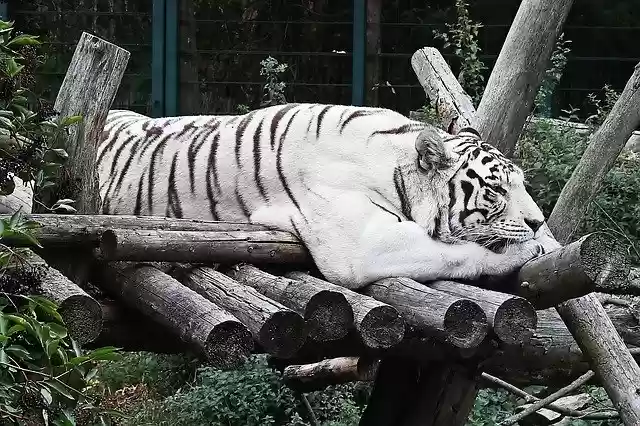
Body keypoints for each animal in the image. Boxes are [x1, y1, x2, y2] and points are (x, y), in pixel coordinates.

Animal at [96, 103, 552, 290]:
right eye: (496, 189)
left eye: (522, 184)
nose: (537, 221)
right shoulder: (362, 245)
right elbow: (458, 253)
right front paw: (523, 250)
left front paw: (545, 240)